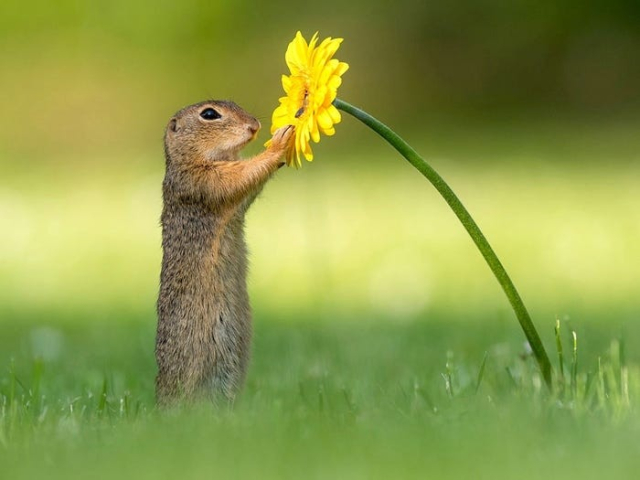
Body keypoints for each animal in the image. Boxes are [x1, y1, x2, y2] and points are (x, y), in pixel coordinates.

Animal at [156, 100, 294, 404]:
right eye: (209, 114)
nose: (255, 126)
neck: (188, 159)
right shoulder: (203, 181)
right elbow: (241, 175)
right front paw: (279, 143)